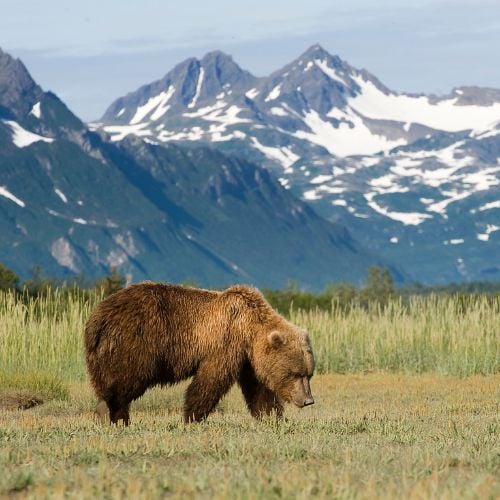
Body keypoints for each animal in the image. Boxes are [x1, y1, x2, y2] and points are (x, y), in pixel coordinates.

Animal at [84, 284, 314, 424]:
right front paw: (191, 417)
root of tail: (97, 317)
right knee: (125, 380)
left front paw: (272, 417)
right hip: (135, 343)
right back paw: (113, 415)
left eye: (309, 374)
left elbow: (259, 390)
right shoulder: (225, 343)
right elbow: (210, 381)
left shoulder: (248, 360)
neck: (249, 329)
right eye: (295, 373)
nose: (308, 400)